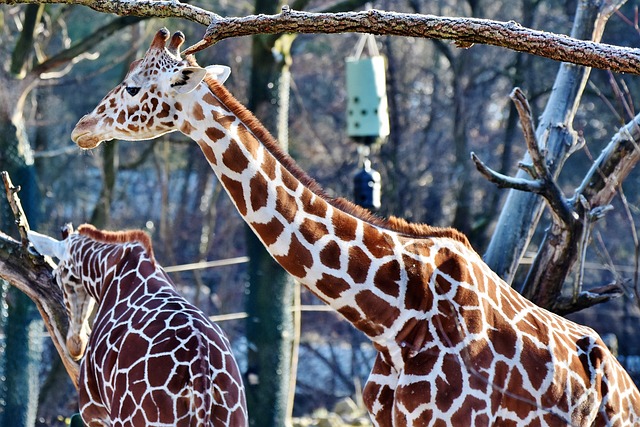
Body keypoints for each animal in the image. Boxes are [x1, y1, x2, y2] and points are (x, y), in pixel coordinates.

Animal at [28, 224, 248, 427]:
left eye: (55, 277)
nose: (75, 346)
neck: (111, 269)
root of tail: (199, 368)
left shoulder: (93, 411)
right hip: (234, 417)